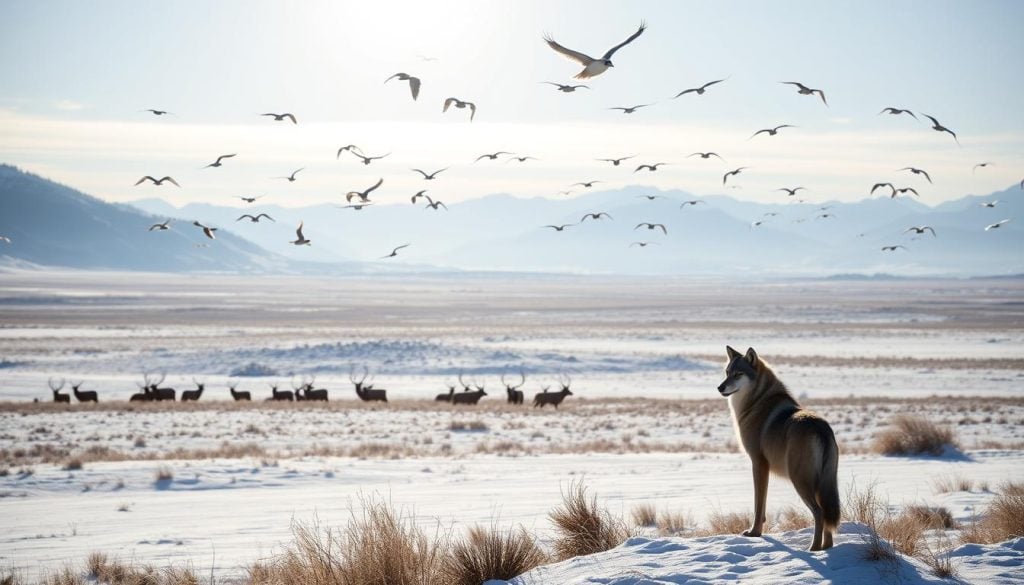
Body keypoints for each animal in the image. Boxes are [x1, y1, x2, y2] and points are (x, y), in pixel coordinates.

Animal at [720, 346, 839, 553]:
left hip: (800, 481)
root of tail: (822, 428)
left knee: (819, 512)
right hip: (821, 484)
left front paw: (754, 533)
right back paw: (826, 548)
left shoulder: (758, 463)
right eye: (727, 373)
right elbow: (762, 505)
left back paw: (813, 549)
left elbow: (758, 504)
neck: (756, 402)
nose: (720, 387)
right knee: (826, 516)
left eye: (738, 374)